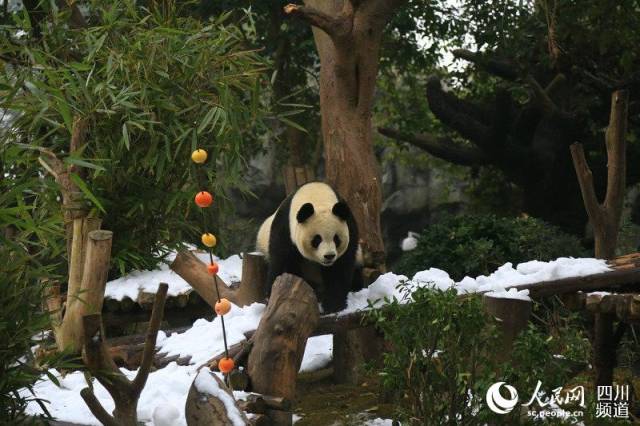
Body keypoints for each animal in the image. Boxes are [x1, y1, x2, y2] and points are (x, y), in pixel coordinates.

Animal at [256, 181, 364, 312]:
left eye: (336, 239)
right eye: (317, 239)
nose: (329, 256)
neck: (316, 195)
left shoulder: (349, 226)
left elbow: (340, 267)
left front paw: (333, 305)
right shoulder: (284, 228)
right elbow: (282, 262)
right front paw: (275, 295)